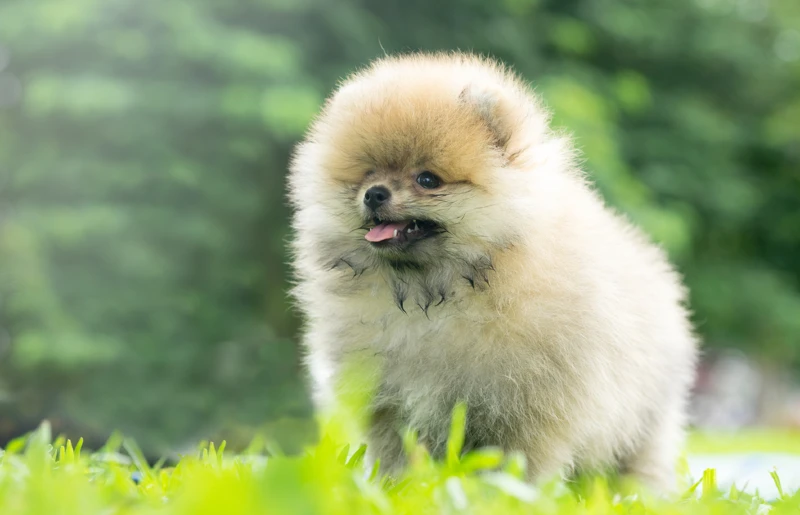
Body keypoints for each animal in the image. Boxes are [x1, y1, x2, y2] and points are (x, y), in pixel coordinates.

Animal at [286, 52, 692, 492]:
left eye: (427, 179)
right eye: (366, 174)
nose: (374, 194)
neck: (438, 293)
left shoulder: (531, 406)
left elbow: (520, 464)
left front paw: (511, 495)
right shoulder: (386, 400)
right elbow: (396, 454)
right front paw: (398, 489)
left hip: (644, 422)